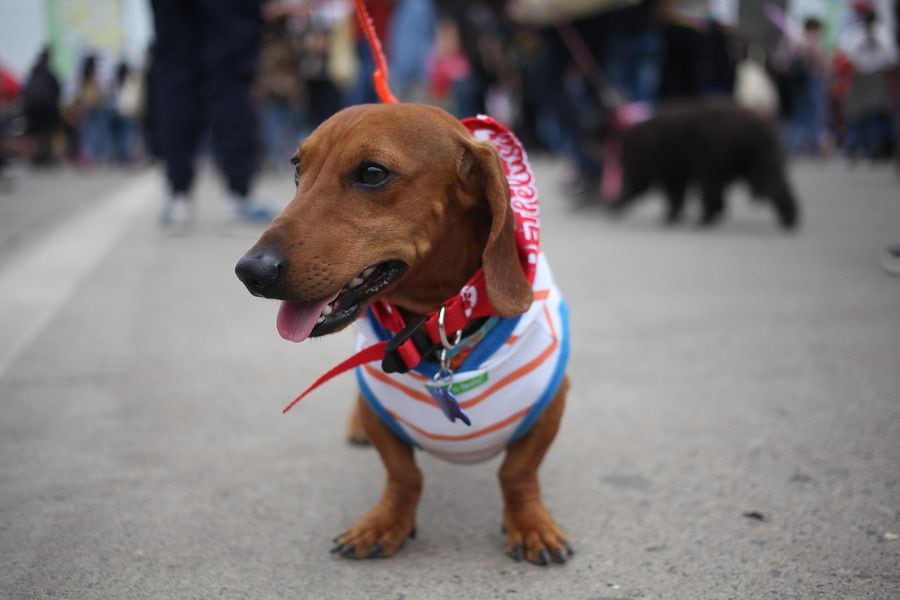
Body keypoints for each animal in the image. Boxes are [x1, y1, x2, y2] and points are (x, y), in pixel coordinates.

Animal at [232, 103, 568, 568]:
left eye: (373, 173)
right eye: (298, 168)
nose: (251, 271)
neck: (441, 323)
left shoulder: (551, 404)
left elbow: (517, 472)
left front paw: (531, 524)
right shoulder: (378, 408)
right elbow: (403, 474)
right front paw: (385, 523)